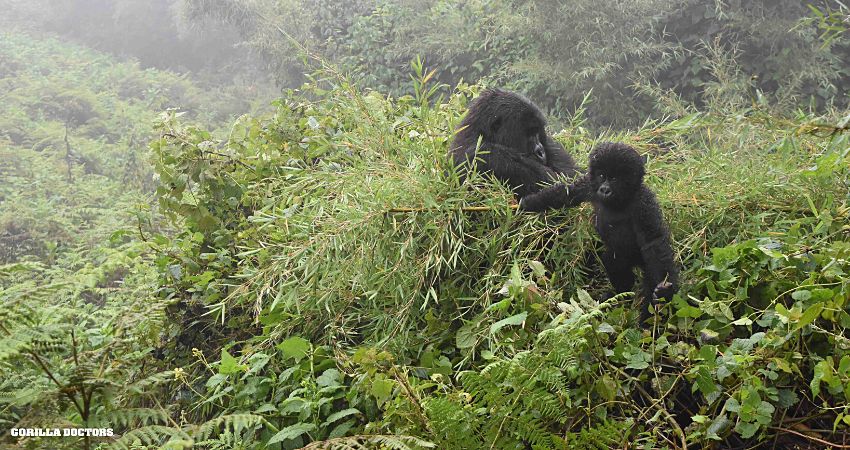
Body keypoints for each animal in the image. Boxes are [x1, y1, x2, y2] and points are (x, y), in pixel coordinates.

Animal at [524, 143, 676, 324]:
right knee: (613, 261)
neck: (621, 199)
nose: (604, 189)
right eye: (602, 175)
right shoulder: (589, 185)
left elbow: (653, 242)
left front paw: (663, 291)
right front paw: (527, 203)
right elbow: (565, 192)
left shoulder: (643, 204)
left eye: (615, 179)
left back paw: (648, 320)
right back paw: (621, 292)